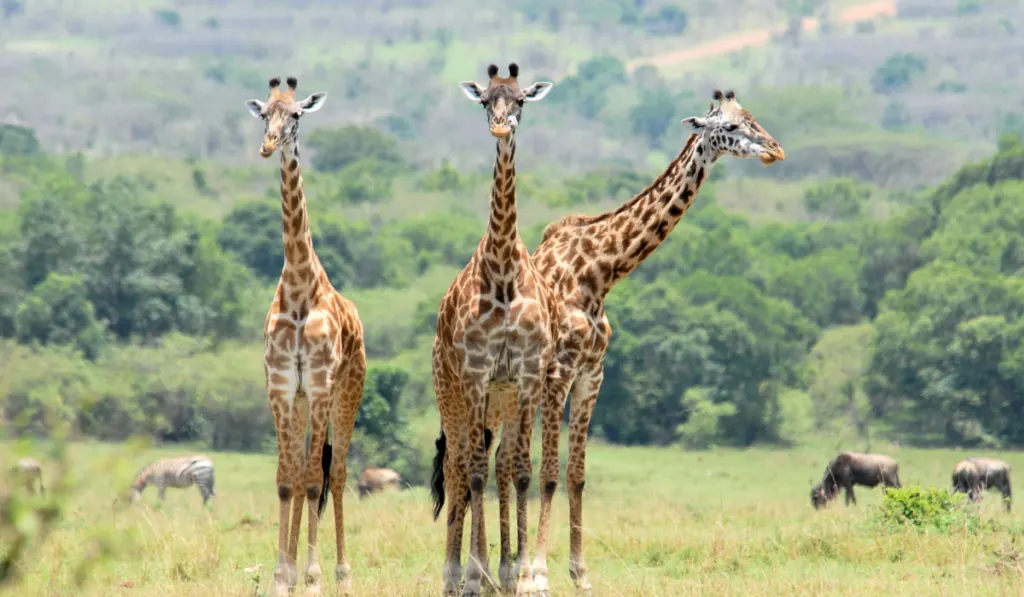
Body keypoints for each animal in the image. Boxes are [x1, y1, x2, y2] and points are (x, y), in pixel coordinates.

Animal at [528, 87, 782, 593]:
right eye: (731, 127)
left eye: (753, 118)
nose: (775, 150)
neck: (601, 272)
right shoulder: (559, 372)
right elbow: (547, 474)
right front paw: (539, 575)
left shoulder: (592, 374)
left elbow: (577, 475)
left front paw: (580, 576)